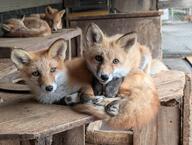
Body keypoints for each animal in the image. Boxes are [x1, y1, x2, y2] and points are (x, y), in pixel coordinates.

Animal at [11, 38, 160, 129]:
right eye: (36, 73)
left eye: (52, 70)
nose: (49, 87)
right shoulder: (59, 98)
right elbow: (68, 99)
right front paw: (74, 98)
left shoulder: (84, 84)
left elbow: (85, 96)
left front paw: (89, 98)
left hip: (122, 86)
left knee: (124, 97)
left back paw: (110, 104)